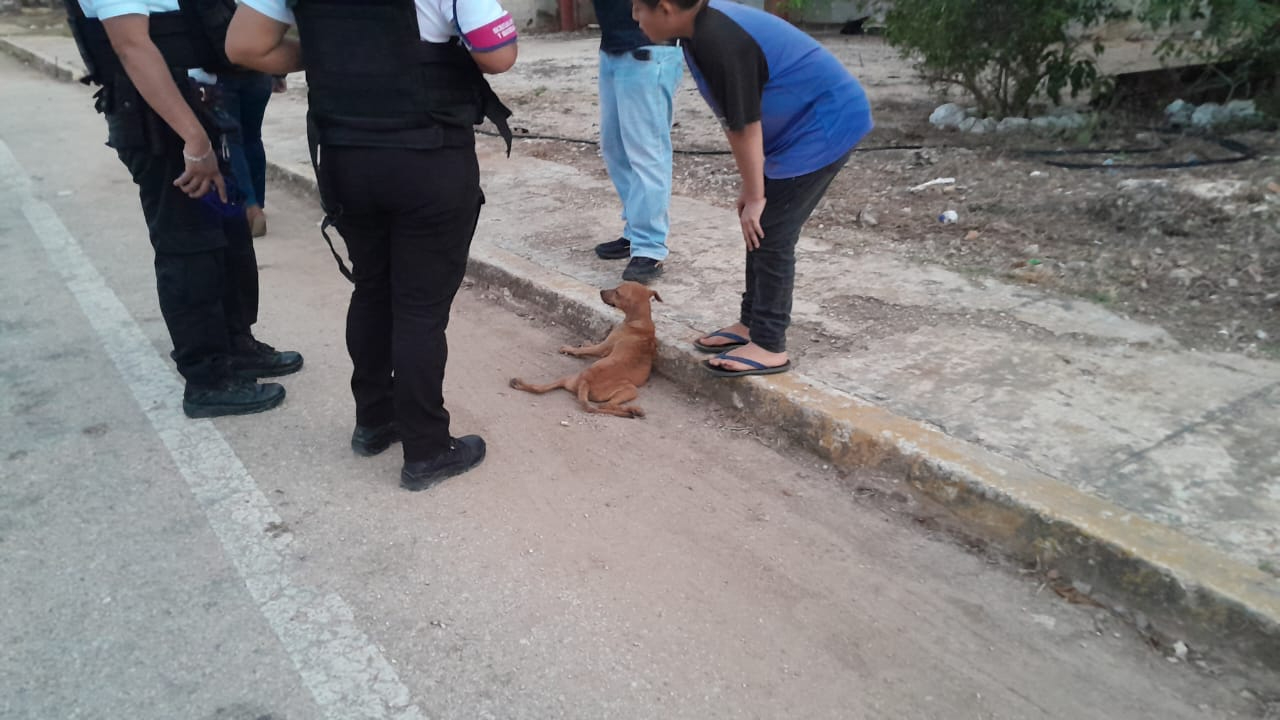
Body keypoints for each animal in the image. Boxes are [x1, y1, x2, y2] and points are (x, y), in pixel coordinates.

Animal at [509, 279, 665, 415]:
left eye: (617, 292)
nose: (601, 291)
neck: (641, 321)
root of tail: (585, 381)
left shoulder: (603, 347)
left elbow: (586, 349)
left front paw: (572, 348)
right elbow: (588, 348)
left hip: (630, 389)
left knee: (606, 405)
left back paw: (634, 410)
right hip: (568, 380)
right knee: (538, 388)